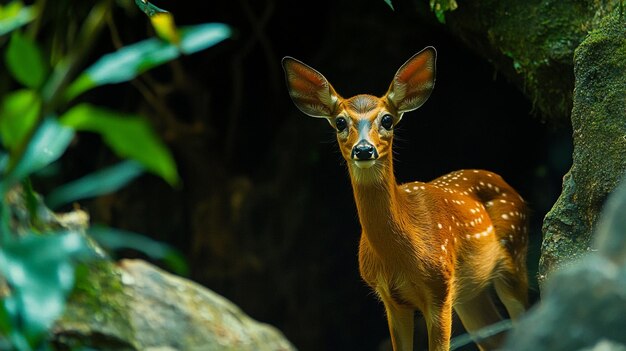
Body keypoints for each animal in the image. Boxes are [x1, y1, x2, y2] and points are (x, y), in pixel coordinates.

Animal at [282, 47, 528, 351]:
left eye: (387, 119)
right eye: (340, 122)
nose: (364, 149)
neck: (400, 256)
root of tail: (506, 183)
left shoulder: (440, 288)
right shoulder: (391, 300)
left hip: (514, 254)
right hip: (471, 293)